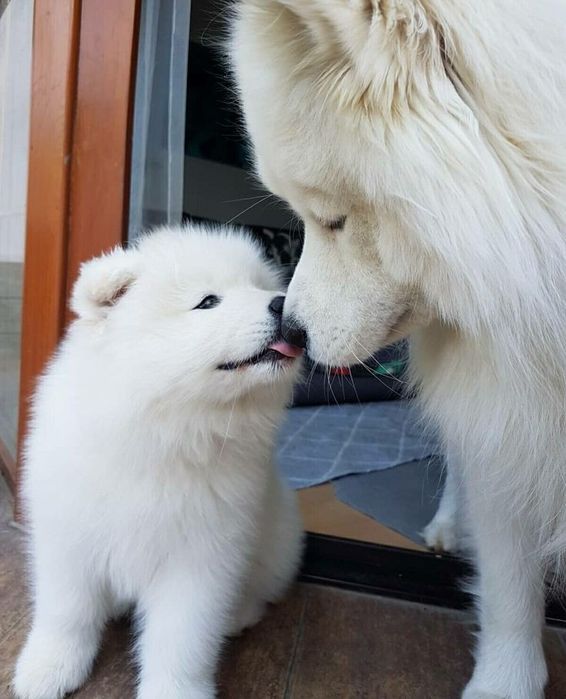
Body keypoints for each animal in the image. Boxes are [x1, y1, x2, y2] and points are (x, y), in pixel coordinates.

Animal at [13, 226, 304, 699]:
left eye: (261, 286)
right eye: (208, 302)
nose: (282, 302)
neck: (163, 431)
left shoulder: (200, 559)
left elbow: (181, 641)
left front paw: (175, 690)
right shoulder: (69, 538)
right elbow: (66, 613)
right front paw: (48, 668)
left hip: (277, 541)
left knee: (260, 590)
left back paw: (237, 615)